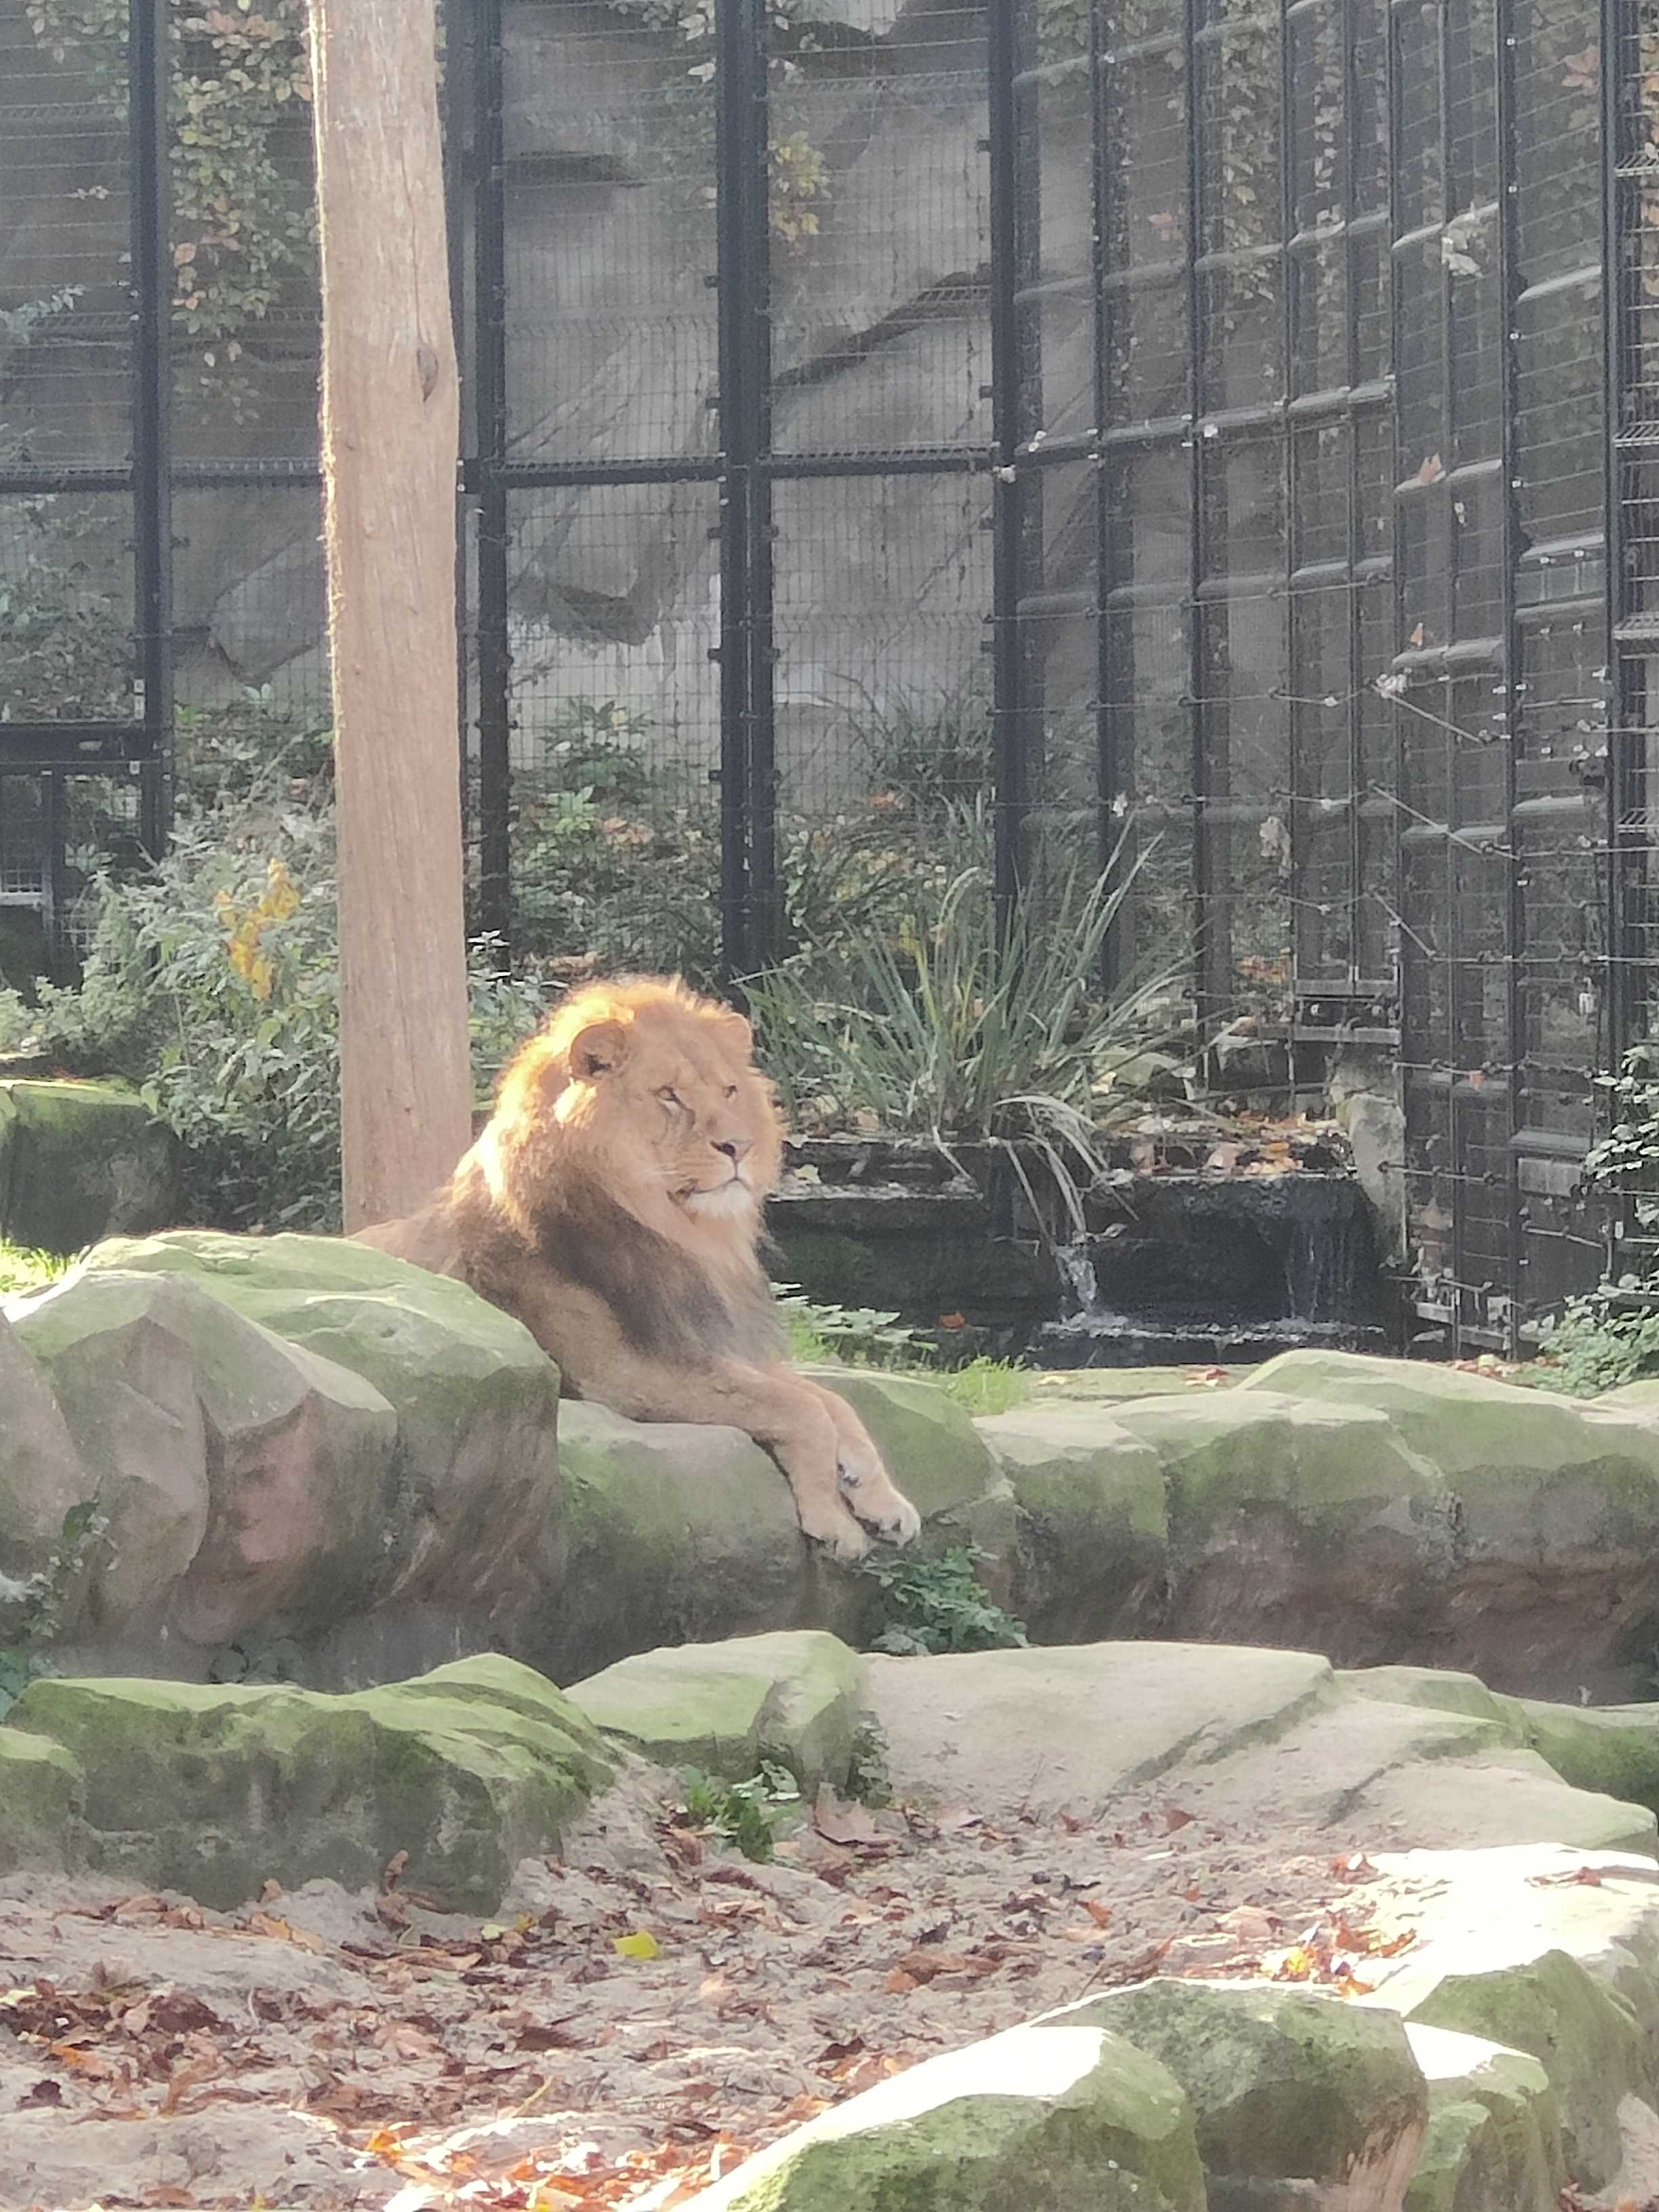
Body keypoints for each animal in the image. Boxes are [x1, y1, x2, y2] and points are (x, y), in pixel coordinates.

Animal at [354, 975, 922, 1562]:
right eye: (669, 1095)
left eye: (729, 1092)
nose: (739, 1146)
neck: (682, 1234)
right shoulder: (625, 1376)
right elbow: (796, 1406)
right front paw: (834, 1520)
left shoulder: (705, 1343)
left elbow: (830, 1400)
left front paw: (881, 1496)